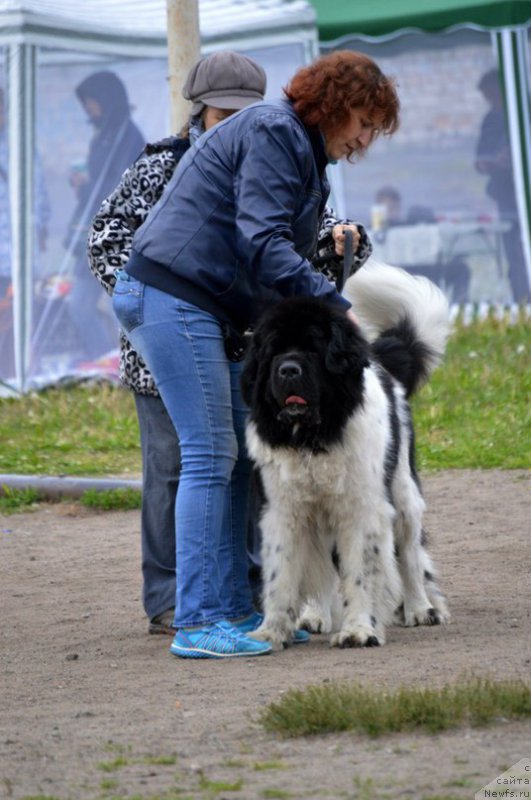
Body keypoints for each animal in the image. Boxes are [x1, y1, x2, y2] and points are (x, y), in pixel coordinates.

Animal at [243, 262, 450, 648]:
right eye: (274, 352)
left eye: (312, 350)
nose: (288, 370)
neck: (313, 436)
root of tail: (379, 360)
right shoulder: (283, 510)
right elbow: (282, 575)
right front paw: (271, 631)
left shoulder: (362, 508)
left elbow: (361, 572)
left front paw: (359, 630)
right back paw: (315, 615)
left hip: (402, 492)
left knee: (410, 554)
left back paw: (420, 608)